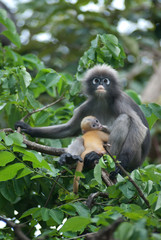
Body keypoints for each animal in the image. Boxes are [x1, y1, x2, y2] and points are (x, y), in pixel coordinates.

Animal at [15, 64, 151, 179]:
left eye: (105, 81)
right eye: (96, 80)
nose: (100, 84)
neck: (102, 100)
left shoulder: (120, 101)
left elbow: (139, 127)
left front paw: (122, 162)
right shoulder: (88, 105)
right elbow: (70, 129)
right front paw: (28, 129)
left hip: (135, 157)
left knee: (125, 119)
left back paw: (102, 157)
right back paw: (70, 158)